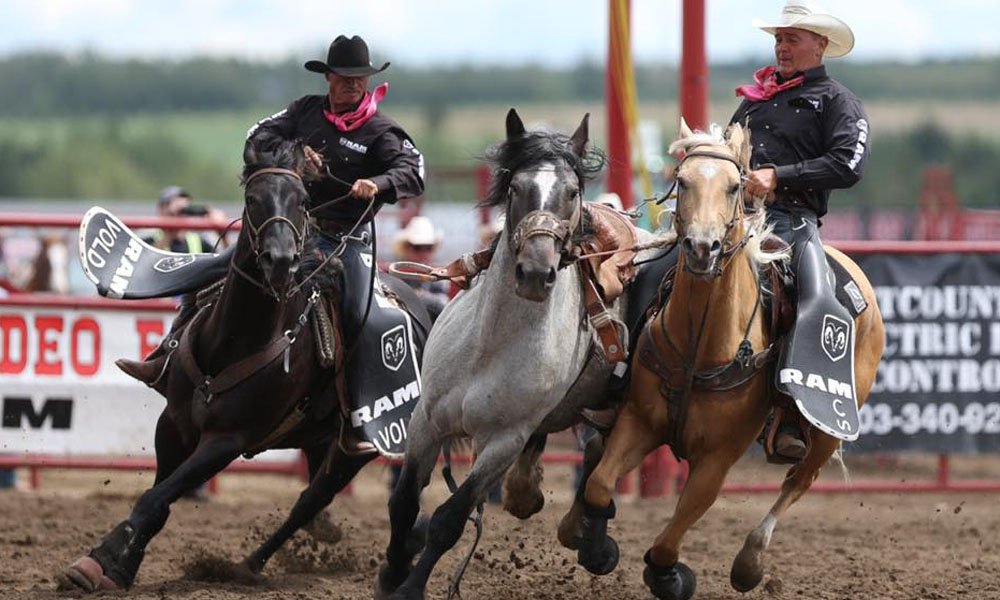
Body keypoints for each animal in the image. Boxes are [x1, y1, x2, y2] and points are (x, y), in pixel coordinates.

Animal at [64, 139, 428, 592]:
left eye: (303, 200)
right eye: (253, 199)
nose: (281, 260)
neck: (238, 341)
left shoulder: (227, 440)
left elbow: (156, 498)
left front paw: (105, 559)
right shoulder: (173, 424)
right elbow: (158, 498)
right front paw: (114, 565)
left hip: (356, 449)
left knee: (312, 500)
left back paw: (252, 564)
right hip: (318, 436)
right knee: (314, 498)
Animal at [374, 109, 656, 600]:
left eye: (572, 192)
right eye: (515, 188)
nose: (536, 273)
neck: (490, 345)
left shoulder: (505, 440)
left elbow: (450, 519)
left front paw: (409, 586)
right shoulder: (427, 420)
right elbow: (404, 501)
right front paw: (391, 573)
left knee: (600, 458)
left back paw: (593, 544)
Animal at [576, 123, 888, 600]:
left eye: (734, 186)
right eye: (682, 180)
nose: (702, 247)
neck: (700, 343)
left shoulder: (717, 459)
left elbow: (670, 539)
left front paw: (670, 577)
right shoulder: (639, 421)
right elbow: (598, 484)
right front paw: (595, 546)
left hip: (825, 432)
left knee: (798, 481)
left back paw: (750, 562)